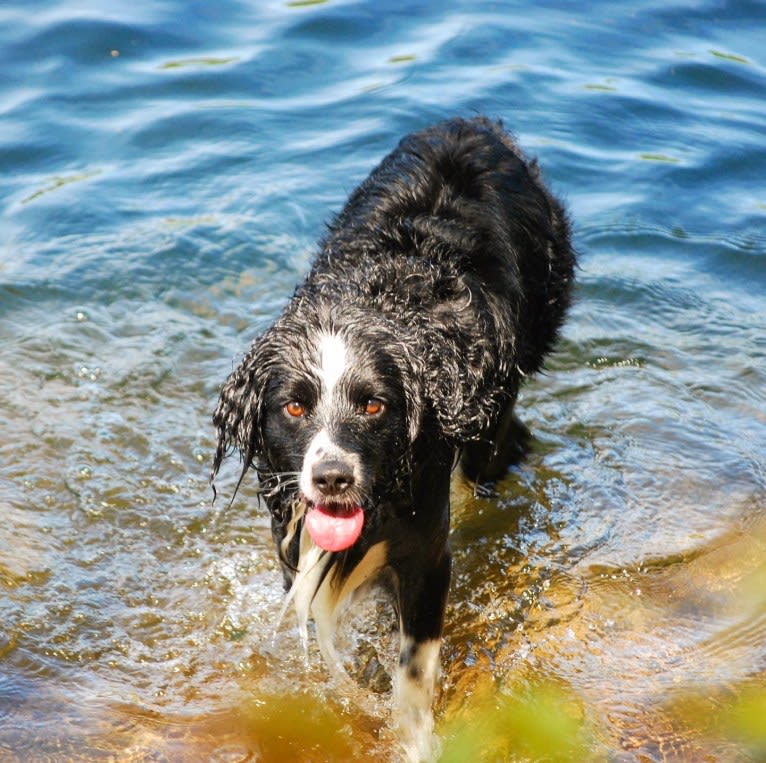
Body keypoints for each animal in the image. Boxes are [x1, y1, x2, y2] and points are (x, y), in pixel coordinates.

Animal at [213, 116, 572, 760]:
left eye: (374, 405)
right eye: (295, 406)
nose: (332, 478)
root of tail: (475, 127)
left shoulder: (426, 553)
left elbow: (413, 669)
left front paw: (414, 740)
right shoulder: (292, 534)